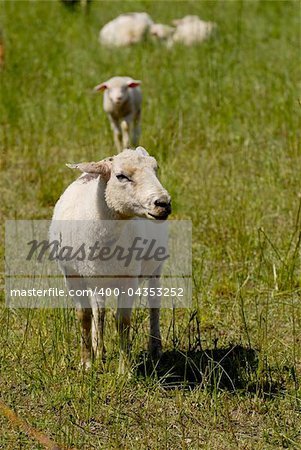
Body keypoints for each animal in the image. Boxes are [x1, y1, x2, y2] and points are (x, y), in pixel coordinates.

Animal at [49, 147, 171, 372]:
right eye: (121, 176)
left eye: (155, 169)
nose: (163, 204)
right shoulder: (72, 276)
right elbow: (85, 317)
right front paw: (87, 363)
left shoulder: (129, 278)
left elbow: (122, 321)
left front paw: (124, 370)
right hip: (97, 278)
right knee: (100, 311)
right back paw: (99, 349)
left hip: (156, 265)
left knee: (154, 302)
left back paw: (155, 348)